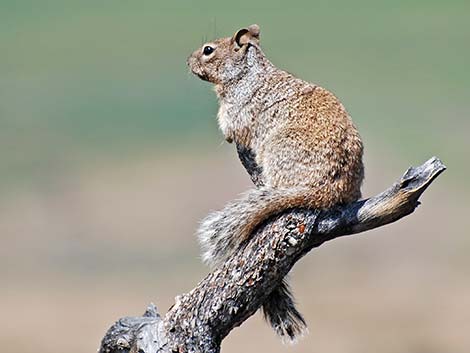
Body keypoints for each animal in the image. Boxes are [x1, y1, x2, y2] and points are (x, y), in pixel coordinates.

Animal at [187, 23, 364, 340]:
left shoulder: (234, 110)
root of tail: (331, 188)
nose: (187, 61)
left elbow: (230, 127)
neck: (248, 72)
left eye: (208, 50)